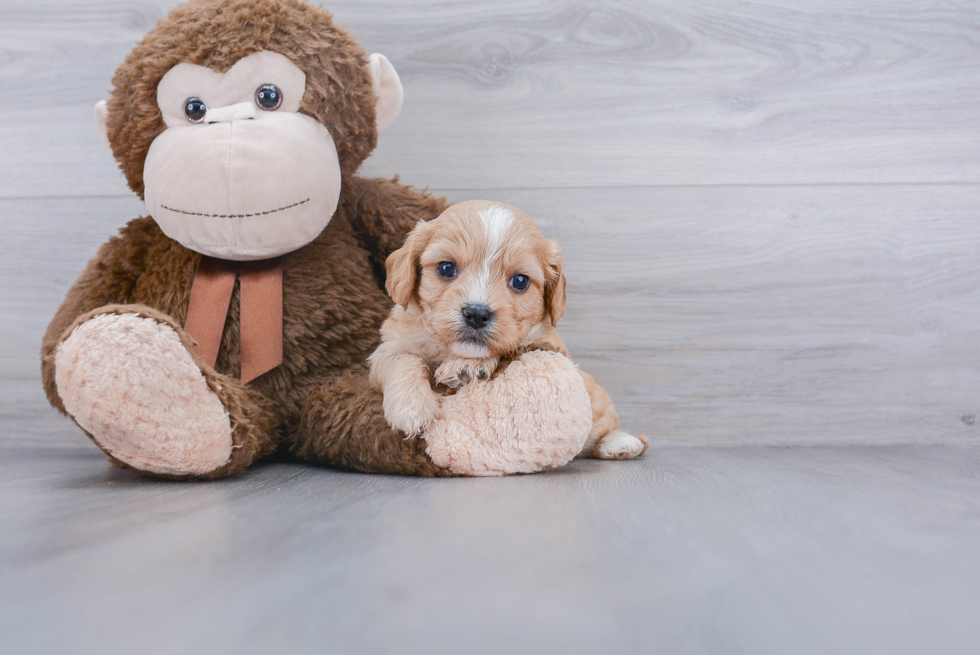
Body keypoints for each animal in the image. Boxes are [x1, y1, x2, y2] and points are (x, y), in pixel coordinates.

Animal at [372, 200, 648, 462]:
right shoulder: (388, 347)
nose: (477, 314)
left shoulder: (547, 342)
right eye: (445, 268)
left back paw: (621, 443)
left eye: (520, 281)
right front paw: (411, 408)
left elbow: (506, 348)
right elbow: (404, 361)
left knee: (602, 424)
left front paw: (468, 365)